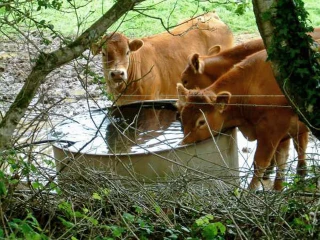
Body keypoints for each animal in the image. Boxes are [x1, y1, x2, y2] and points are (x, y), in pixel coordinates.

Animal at [176, 49, 308, 190]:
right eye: (182, 118)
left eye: (201, 122)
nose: (183, 144)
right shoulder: (286, 133)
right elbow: (282, 160)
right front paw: (279, 188)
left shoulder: (272, 130)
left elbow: (260, 163)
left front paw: (250, 192)